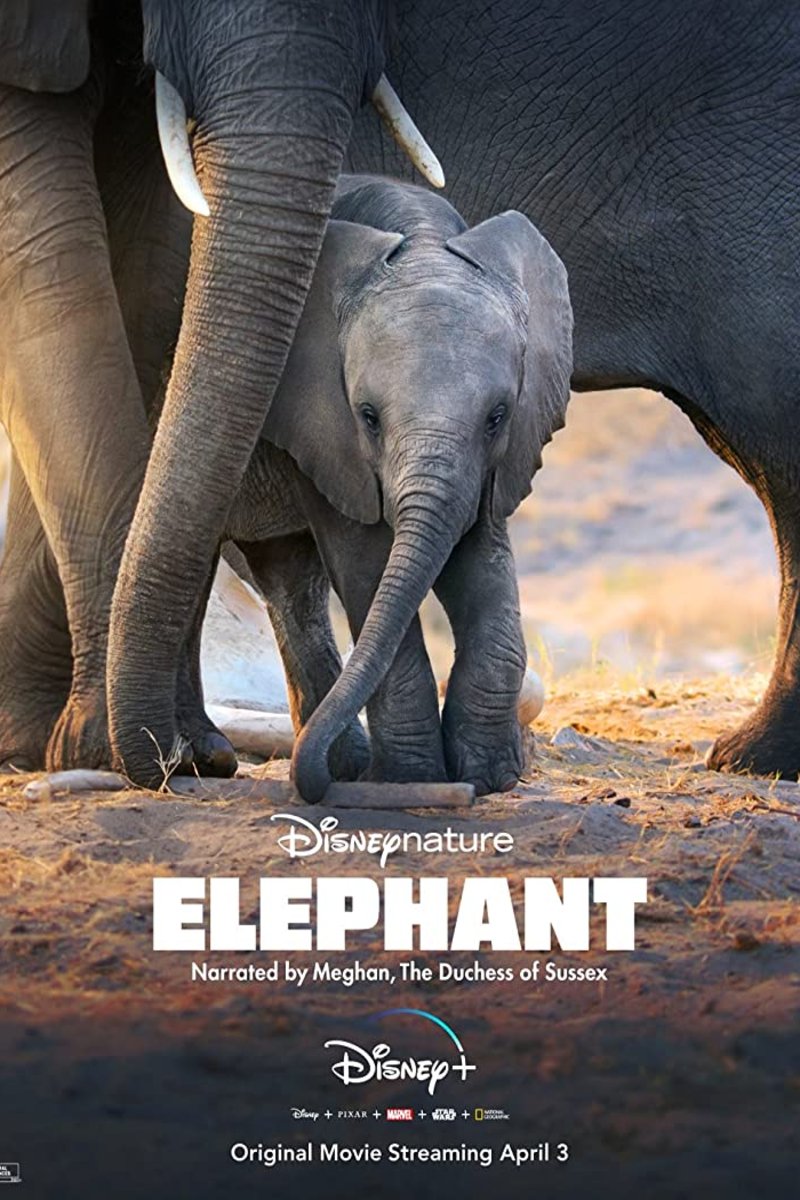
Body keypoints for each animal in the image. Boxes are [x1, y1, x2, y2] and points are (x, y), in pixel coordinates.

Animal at [221, 174, 571, 800]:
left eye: (498, 417)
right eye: (368, 417)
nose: (307, 783)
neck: (422, 240)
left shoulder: (493, 464)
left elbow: (480, 558)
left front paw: (490, 777)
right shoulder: (323, 424)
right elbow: (366, 563)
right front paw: (414, 780)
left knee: (288, 580)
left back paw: (343, 767)